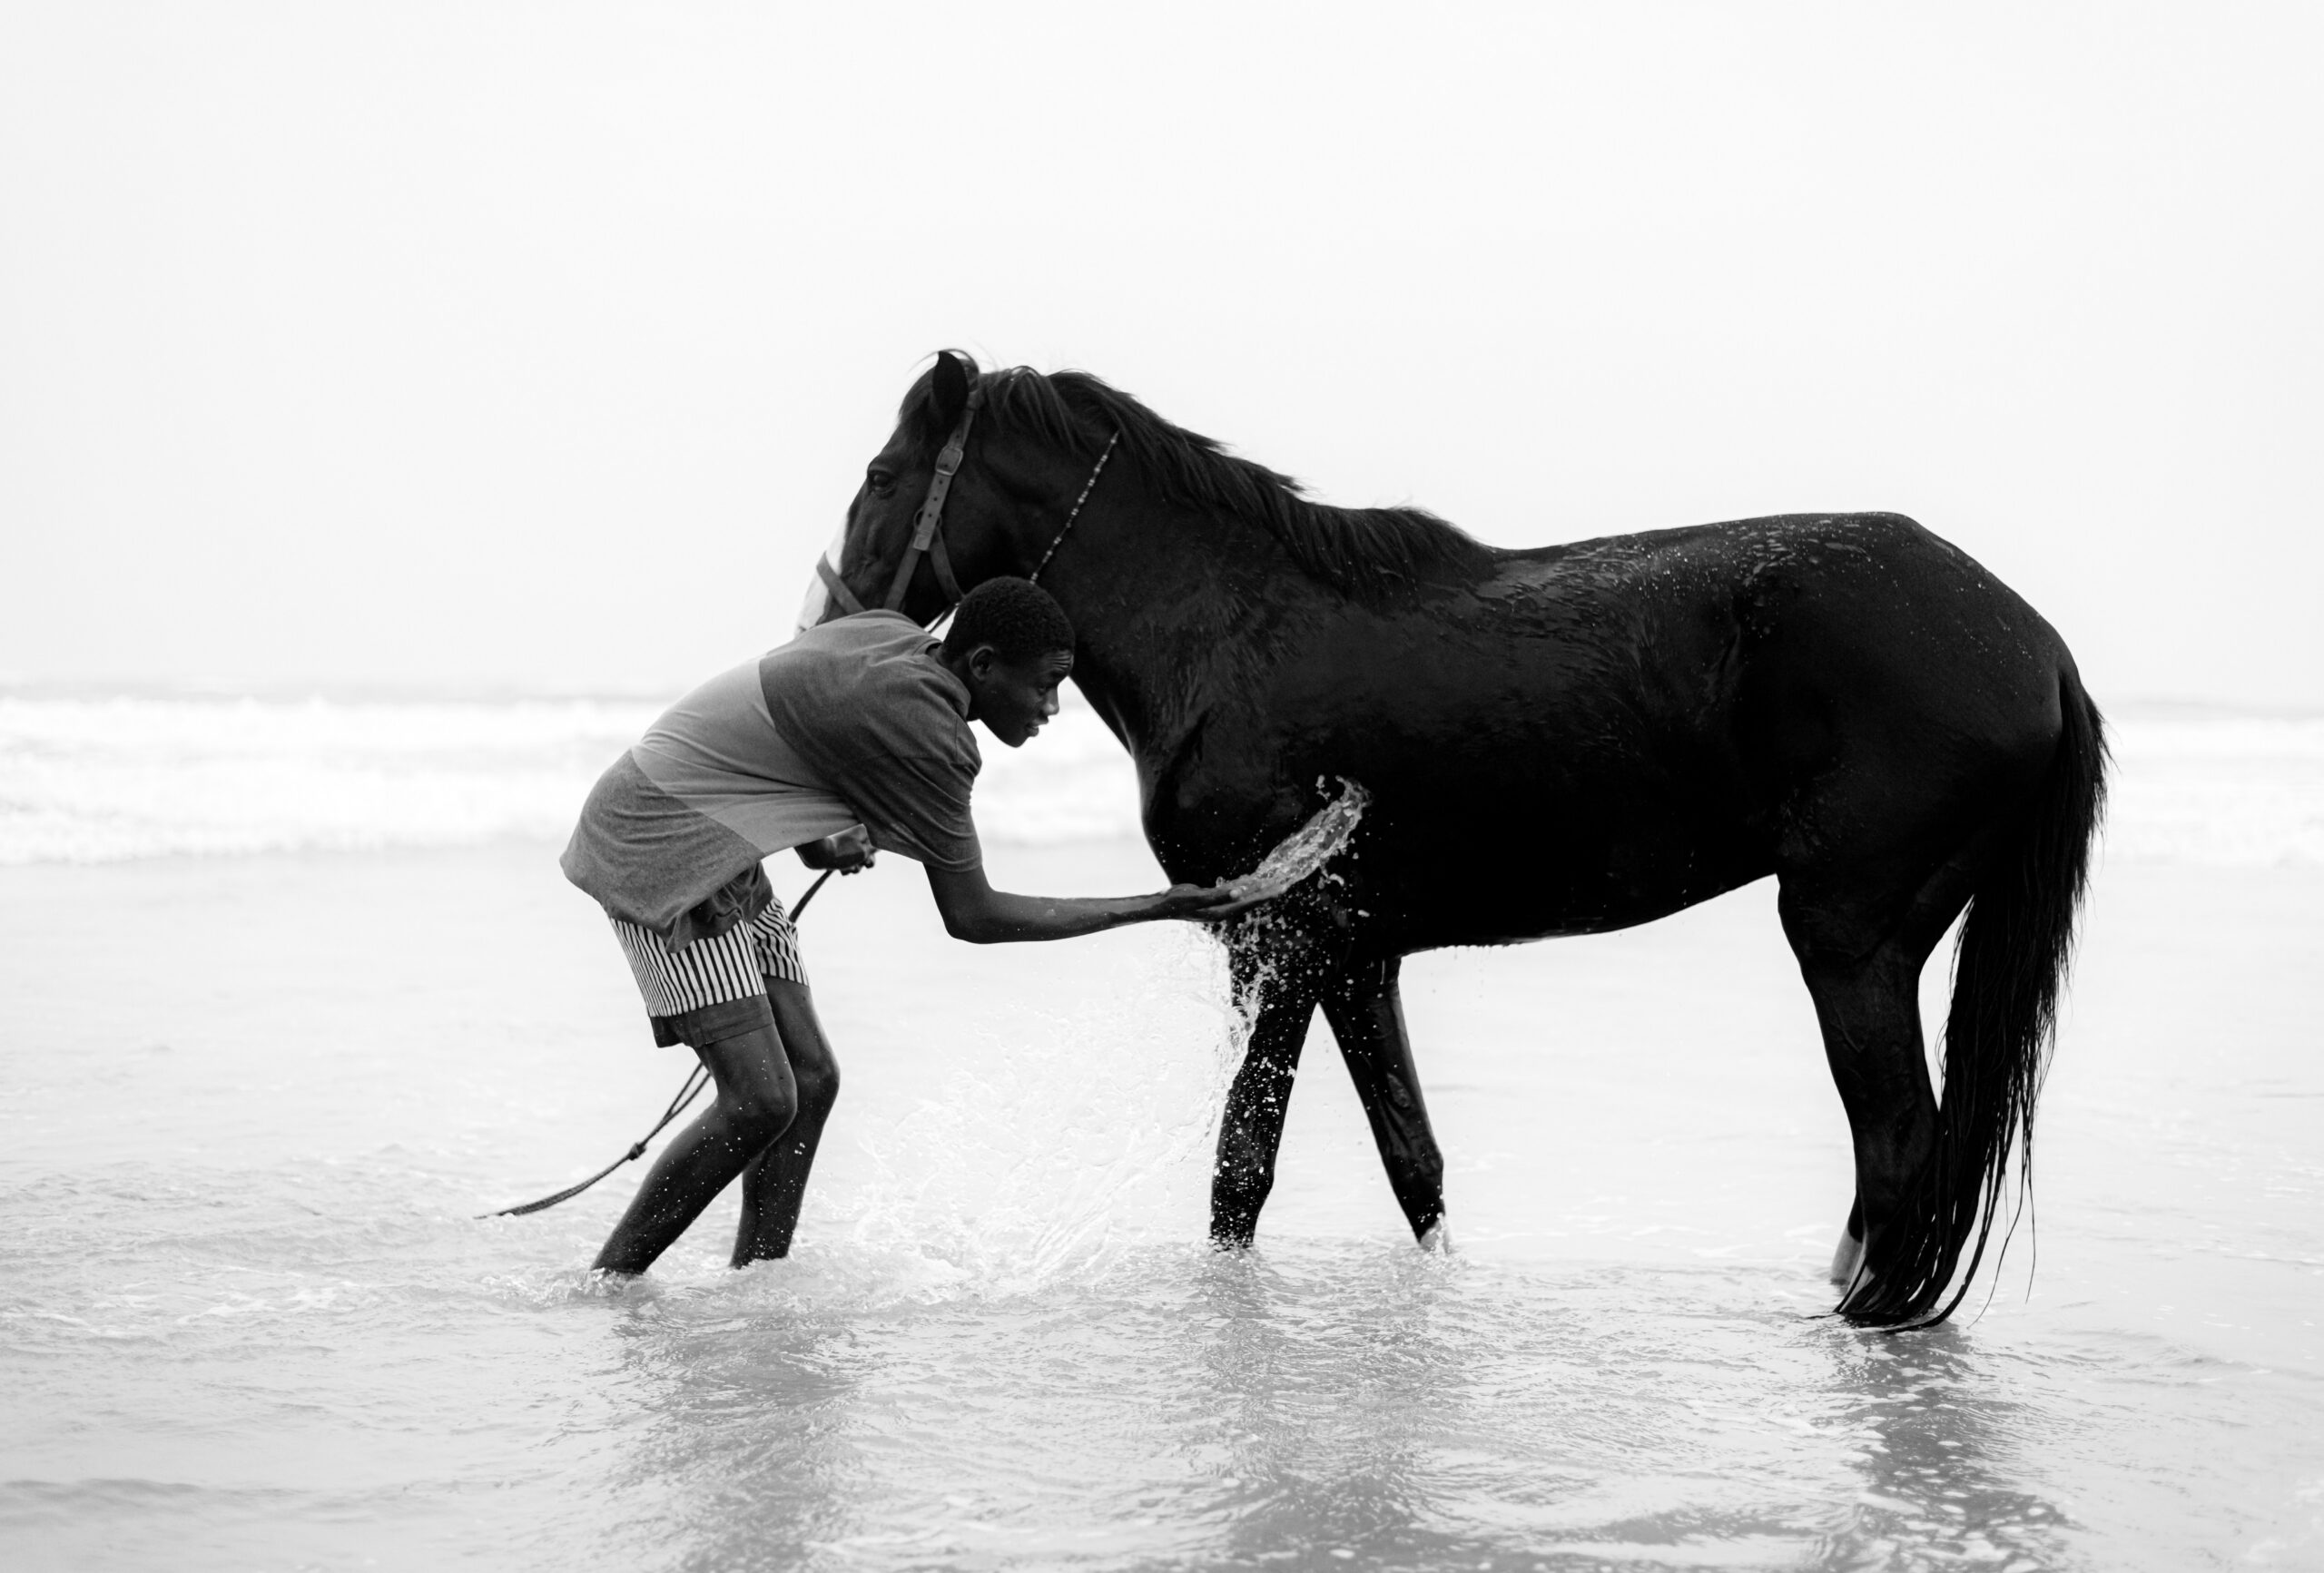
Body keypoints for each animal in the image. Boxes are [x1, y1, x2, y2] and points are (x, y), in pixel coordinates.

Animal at [803, 350, 2106, 1328]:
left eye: (880, 472)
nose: (824, 626)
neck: (1226, 632)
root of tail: (2032, 642)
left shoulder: (1278, 941)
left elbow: (1240, 1165)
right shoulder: (1355, 956)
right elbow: (1412, 1162)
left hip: (1846, 939)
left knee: (1898, 1151)